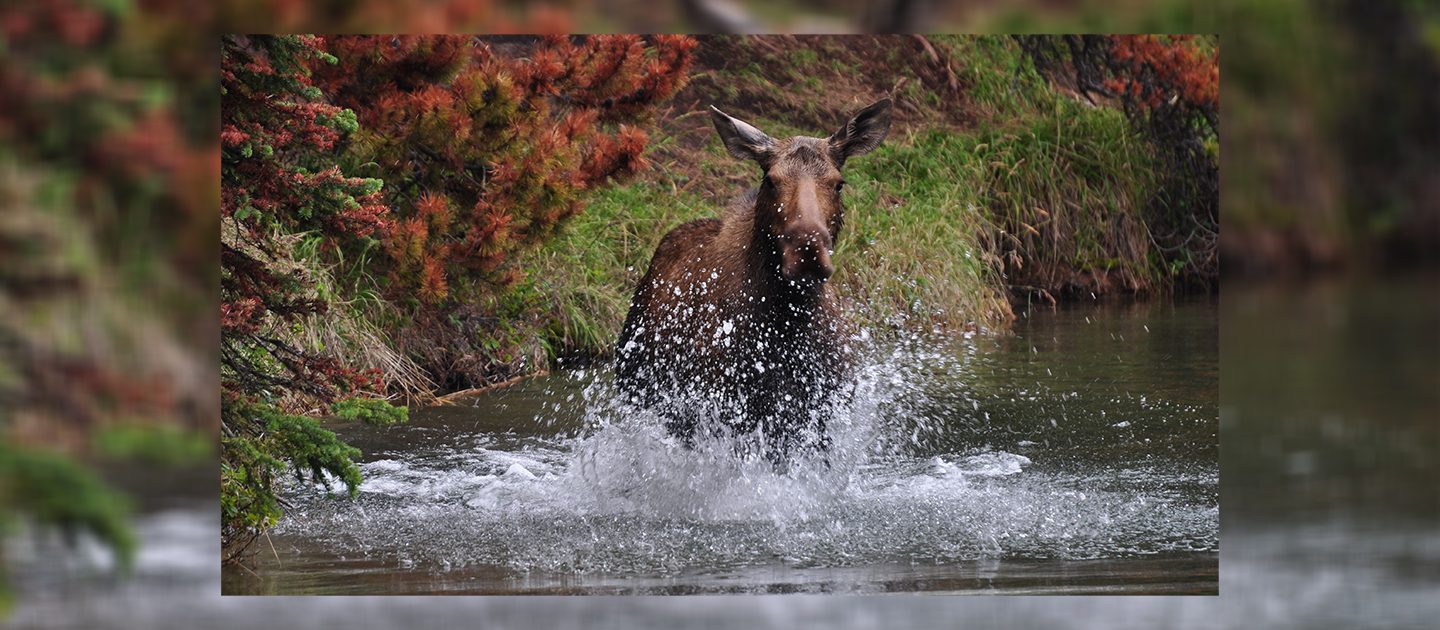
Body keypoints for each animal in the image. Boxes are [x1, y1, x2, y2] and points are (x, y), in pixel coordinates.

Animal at [615, 98, 892, 469]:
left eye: (838, 183)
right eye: (771, 180)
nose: (806, 251)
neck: (786, 325)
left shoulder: (818, 416)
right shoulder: (733, 412)